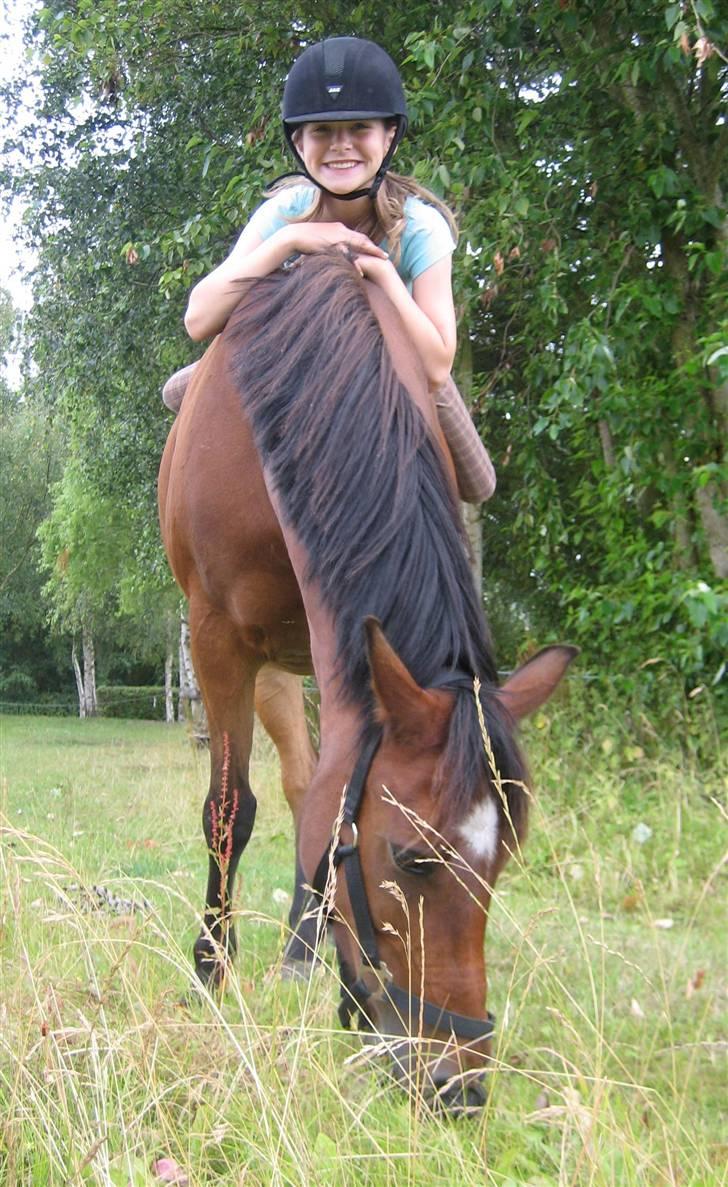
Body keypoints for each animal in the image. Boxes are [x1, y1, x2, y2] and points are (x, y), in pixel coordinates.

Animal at [158, 251, 576, 1112]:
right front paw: (211, 966)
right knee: (279, 789)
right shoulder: (216, 637)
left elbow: (315, 799)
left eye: (501, 862)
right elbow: (228, 809)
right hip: (265, 666)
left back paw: (302, 947)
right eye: (412, 858)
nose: (459, 1084)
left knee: (303, 782)